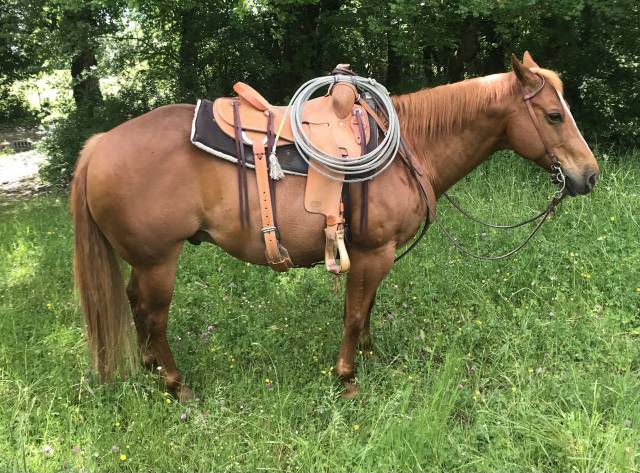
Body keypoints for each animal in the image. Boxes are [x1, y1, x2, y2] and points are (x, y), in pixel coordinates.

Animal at [71, 52, 599, 401]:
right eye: (554, 115)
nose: (589, 175)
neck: (407, 148)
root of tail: (98, 145)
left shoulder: (374, 253)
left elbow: (367, 310)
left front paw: (371, 357)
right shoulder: (372, 252)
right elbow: (354, 312)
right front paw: (347, 378)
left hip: (144, 260)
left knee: (134, 302)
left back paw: (148, 367)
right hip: (160, 259)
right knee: (154, 314)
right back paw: (176, 385)